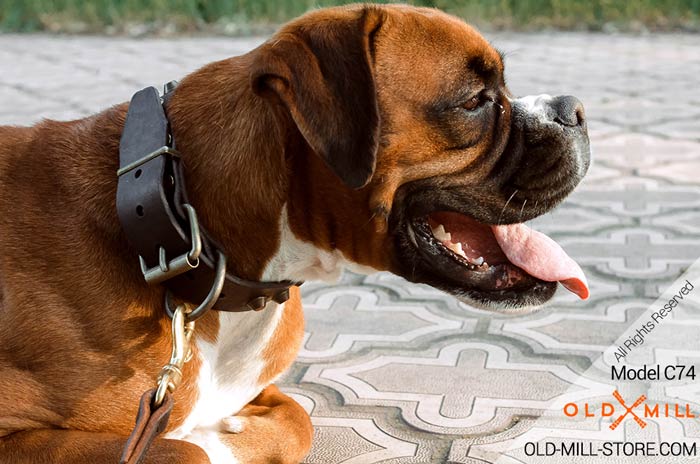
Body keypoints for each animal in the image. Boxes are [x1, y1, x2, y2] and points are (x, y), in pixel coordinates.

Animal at [0, 3, 592, 464]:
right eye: (475, 100)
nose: (576, 109)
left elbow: (297, 419)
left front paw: (227, 431)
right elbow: (181, 448)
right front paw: (207, 438)